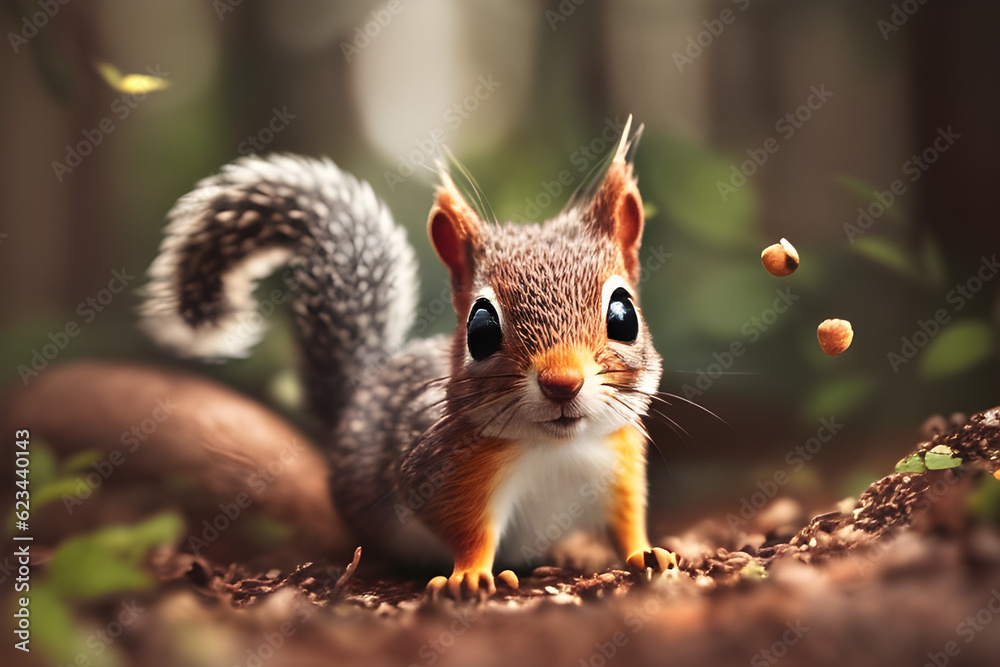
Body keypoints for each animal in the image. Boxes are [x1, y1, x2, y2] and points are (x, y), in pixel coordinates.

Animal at [138, 116, 677, 598]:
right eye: (480, 329)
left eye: (624, 314)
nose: (562, 383)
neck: (556, 447)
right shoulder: (438, 472)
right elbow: (468, 532)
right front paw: (469, 576)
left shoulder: (619, 464)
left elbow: (626, 524)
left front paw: (648, 553)